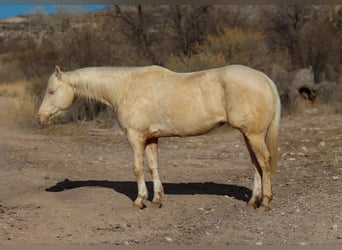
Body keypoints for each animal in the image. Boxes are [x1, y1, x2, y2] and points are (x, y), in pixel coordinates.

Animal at [37, 64, 280, 211]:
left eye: (51, 91)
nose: (40, 118)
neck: (126, 87)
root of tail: (265, 79)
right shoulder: (151, 138)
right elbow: (153, 166)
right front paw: (156, 199)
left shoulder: (135, 137)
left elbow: (137, 168)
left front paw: (140, 200)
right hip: (248, 135)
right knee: (255, 165)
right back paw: (253, 201)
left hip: (254, 135)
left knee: (264, 162)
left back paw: (266, 202)